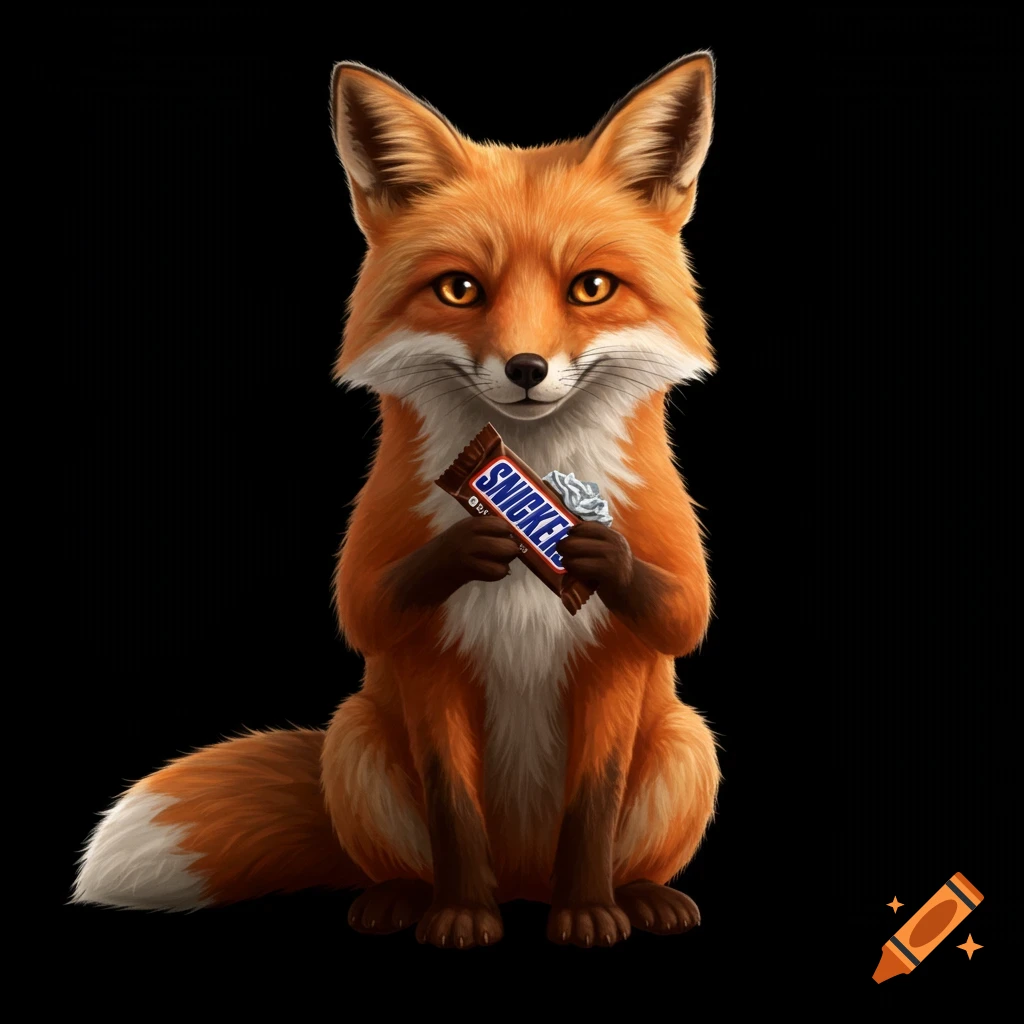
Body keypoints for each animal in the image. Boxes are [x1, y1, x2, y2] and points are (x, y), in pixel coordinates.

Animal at [72, 53, 721, 949]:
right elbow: (410, 707)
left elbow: (674, 630)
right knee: (401, 859)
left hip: (689, 744)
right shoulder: (417, 651)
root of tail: (526, 882)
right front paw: (459, 916)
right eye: (459, 289)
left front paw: (590, 912)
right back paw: (406, 901)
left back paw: (641, 897)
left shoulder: (623, 653)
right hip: (355, 737)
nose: (526, 369)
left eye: (591, 288)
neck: (528, 473)